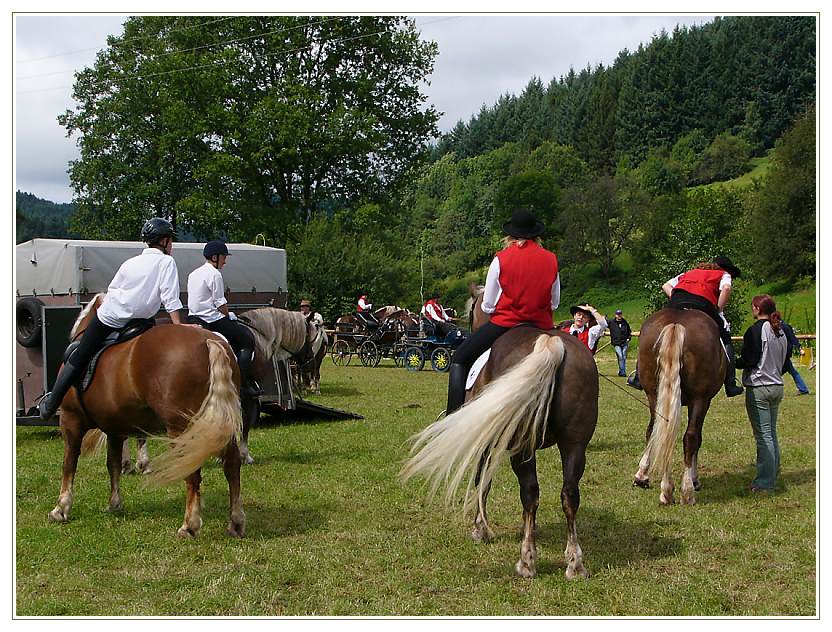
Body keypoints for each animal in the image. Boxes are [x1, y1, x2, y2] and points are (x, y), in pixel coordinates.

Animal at [52, 296, 244, 540]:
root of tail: (208, 341)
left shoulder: (71, 420)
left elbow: (69, 463)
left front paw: (61, 508)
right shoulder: (115, 429)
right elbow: (113, 464)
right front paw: (114, 504)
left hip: (182, 429)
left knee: (192, 473)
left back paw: (189, 525)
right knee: (232, 465)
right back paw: (235, 521)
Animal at [404, 288, 600, 580]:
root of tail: (551, 343)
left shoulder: (485, 441)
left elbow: (482, 479)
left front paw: (480, 528)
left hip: (523, 446)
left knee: (530, 492)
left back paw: (527, 561)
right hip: (574, 444)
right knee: (569, 494)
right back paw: (575, 563)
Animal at [632, 308, 724, 506]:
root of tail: (675, 323)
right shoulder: (703, 401)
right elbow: (697, 438)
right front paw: (695, 480)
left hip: (654, 395)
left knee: (657, 432)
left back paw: (658, 485)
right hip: (700, 398)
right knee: (690, 437)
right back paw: (687, 491)